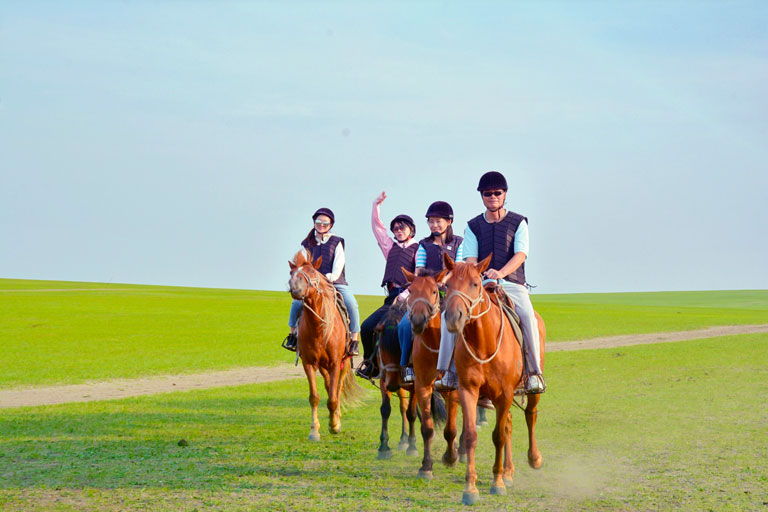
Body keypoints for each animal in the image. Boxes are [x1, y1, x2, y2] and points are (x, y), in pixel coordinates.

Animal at [290, 251, 362, 440]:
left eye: (312, 272)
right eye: (291, 273)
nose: (295, 287)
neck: (318, 328)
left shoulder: (336, 363)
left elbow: (333, 397)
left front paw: (334, 425)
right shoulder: (308, 363)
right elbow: (314, 397)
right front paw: (314, 430)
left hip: (344, 363)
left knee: (337, 388)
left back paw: (336, 418)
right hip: (323, 366)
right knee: (329, 385)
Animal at [402, 268, 462, 480]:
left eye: (434, 291)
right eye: (411, 290)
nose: (418, 320)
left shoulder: (453, 390)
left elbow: (451, 429)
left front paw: (451, 458)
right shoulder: (422, 386)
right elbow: (427, 428)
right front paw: (426, 467)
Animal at [440, 253, 544, 504]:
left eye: (475, 284)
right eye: (447, 285)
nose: (453, 318)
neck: (483, 341)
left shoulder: (504, 393)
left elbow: (498, 437)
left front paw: (497, 484)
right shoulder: (469, 390)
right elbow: (471, 435)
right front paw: (470, 488)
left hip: (527, 391)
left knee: (530, 416)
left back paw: (534, 458)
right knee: (508, 425)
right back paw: (508, 472)